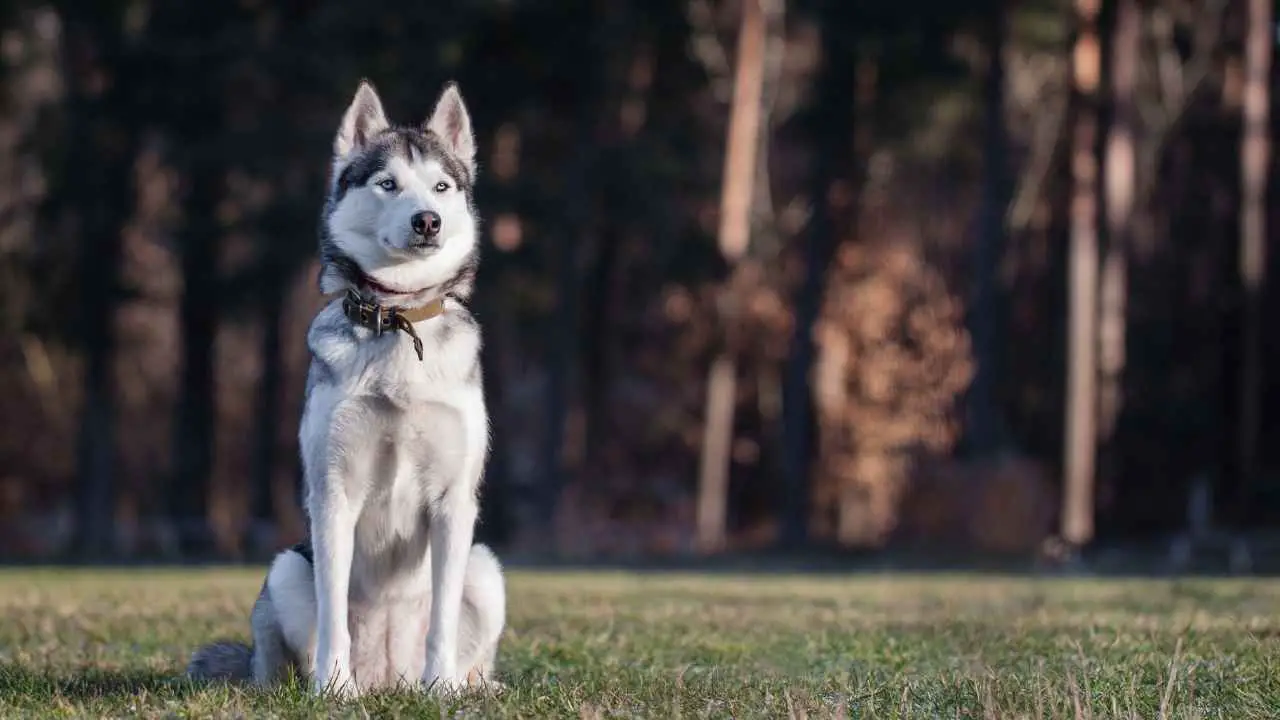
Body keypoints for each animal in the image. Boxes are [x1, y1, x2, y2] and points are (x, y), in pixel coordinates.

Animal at [186, 79, 504, 696]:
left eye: (441, 185)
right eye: (387, 184)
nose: (427, 220)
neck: (399, 319)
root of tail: (389, 680)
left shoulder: (455, 502)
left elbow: (443, 619)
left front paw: (442, 691)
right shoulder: (333, 494)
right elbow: (334, 610)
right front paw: (333, 690)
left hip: (485, 567)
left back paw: (464, 685)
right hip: (286, 568)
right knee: (279, 659)